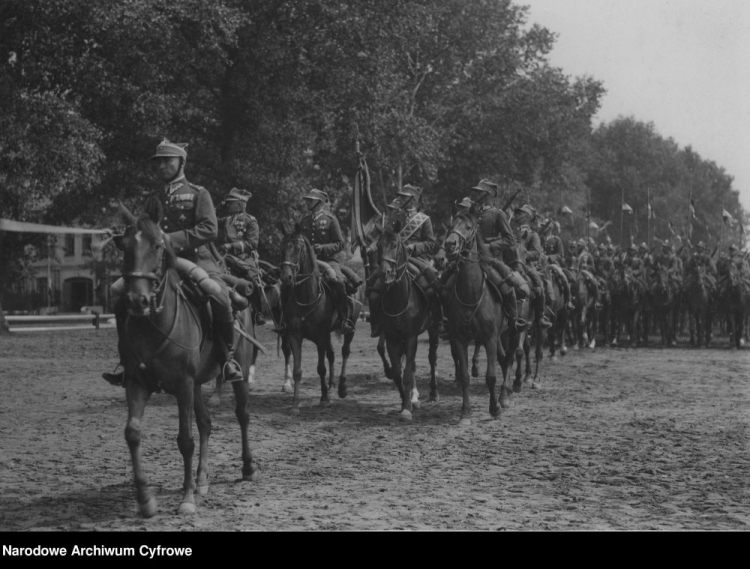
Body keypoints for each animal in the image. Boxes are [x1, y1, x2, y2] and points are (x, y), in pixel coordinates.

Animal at [116, 202, 258, 516]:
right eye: (124, 245)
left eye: (158, 245)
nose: (137, 300)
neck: (154, 323)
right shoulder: (138, 382)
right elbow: (132, 434)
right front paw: (145, 499)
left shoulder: (182, 384)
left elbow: (185, 440)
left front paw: (187, 499)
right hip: (196, 385)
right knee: (206, 422)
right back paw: (201, 479)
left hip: (236, 372)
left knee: (242, 414)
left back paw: (247, 468)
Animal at [280, 230, 362, 412]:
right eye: (283, 247)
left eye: (297, 248)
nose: (286, 277)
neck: (307, 298)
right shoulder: (295, 336)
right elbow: (297, 370)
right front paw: (295, 403)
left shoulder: (320, 338)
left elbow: (321, 368)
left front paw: (324, 397)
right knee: (331, 355)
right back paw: (331, 385)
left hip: (350, 329)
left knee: (345, 352)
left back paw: (341, 388)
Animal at [376, 225, 440, 418]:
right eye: (378, 246)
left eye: (395, 245)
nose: (384, 273)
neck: (400, 300)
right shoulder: (392, 337)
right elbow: (399, 372)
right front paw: (405, 400)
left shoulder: (411, 337)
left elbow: (406, 372)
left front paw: (407, 407)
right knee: (409, 366)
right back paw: (413, 395)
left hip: (433, 329)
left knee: (431, 358)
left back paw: (432, 393)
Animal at [446, 214, 512, 426]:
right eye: (450, 226)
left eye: (468, 227)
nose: (450, 244)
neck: (471, 294)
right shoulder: (460, 339)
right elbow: (465, 376)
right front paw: (465, 413)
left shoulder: (489, 338)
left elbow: (490, 376)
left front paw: (494, 409)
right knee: (504, 359)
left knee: (510, 358)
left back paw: (504, 397)